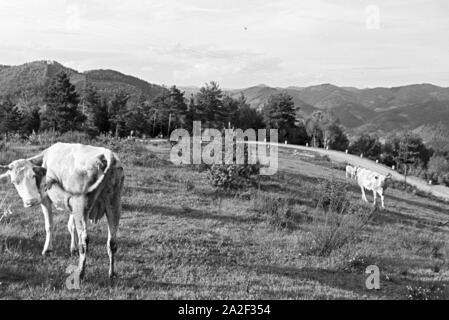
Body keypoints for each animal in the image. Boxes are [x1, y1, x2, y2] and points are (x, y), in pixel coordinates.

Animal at [0, 143, 124, 280]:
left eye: (32, 176)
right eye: (14, 181)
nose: (31, 201)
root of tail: (107, 154)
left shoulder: (45, 200)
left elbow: (49, 225)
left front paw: (47, 249)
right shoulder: (71, 207)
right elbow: (71, 226)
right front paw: (72, 248)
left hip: (82, 207)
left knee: (84, 241)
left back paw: (80, 272)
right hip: (114, 205)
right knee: (112, 241)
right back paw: (112, 273)